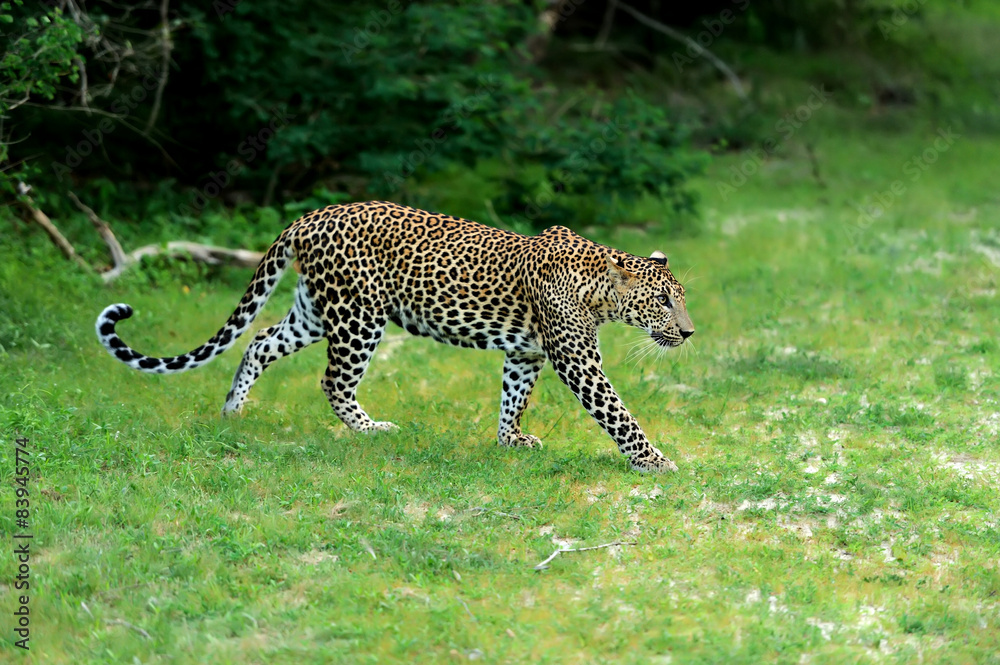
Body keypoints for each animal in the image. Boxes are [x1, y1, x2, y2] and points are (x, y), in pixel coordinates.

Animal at [96, 201, 695, 472]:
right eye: (664, 301)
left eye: (681, 297)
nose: (689, 331)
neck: (600, 289)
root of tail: (310, 216)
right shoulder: (576, 359)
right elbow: (617, 413)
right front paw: (657, 461)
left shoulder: (526, 353)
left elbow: (513, 398)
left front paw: (510, 440)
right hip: (359, 317)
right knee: (333, 381)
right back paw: (371, 429)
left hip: (315, 310)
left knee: (260, 342)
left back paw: (232, 411)